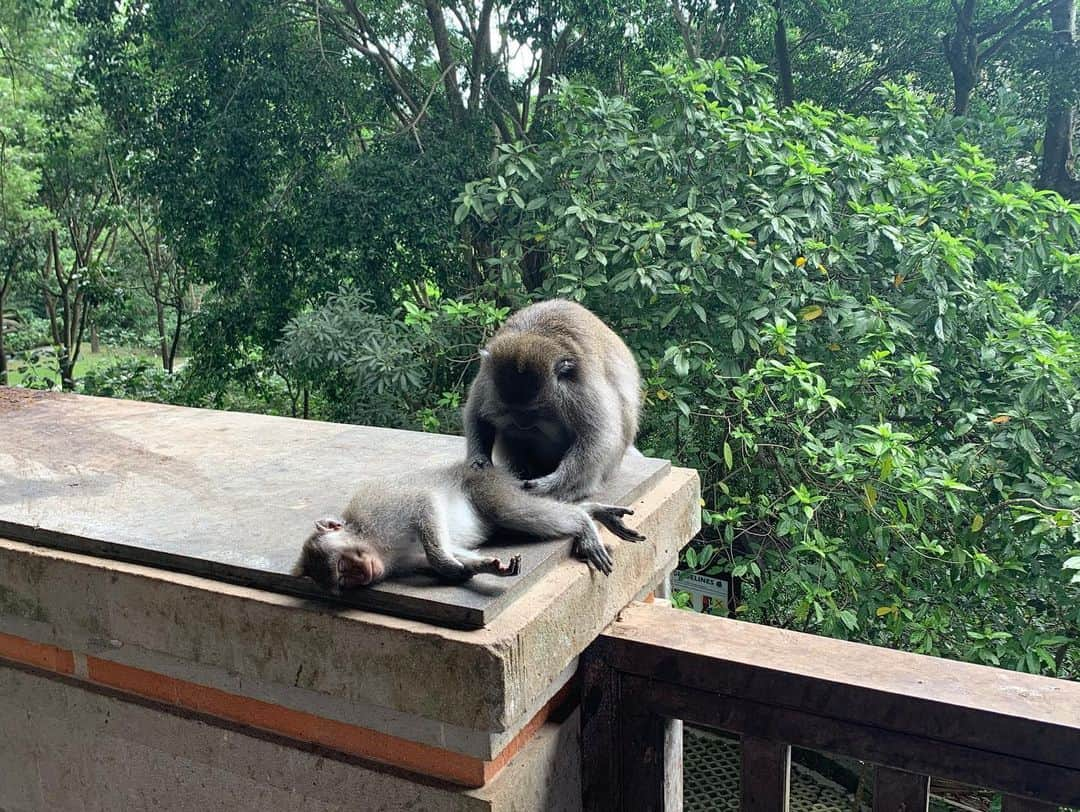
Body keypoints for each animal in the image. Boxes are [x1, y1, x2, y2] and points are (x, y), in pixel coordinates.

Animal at [291, 459, 643, 591]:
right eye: (343, 578)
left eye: (344, 564)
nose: (362, 574)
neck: (372, 542)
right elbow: (449, 553)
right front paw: (481, 568)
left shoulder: (378, 510)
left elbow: (424, 504)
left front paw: (446, 564)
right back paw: (593, 512)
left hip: (488, 487)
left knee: (514, 512)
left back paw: (584, 521)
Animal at [460, 298, 635, 501]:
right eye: (511, 410)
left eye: (534, 412)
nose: (523, 424)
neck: (531, 334)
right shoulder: (487, 380)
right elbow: (477, 416)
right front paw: (479, 460)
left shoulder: (579, 391)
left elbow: (597, 437)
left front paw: (551, 484)